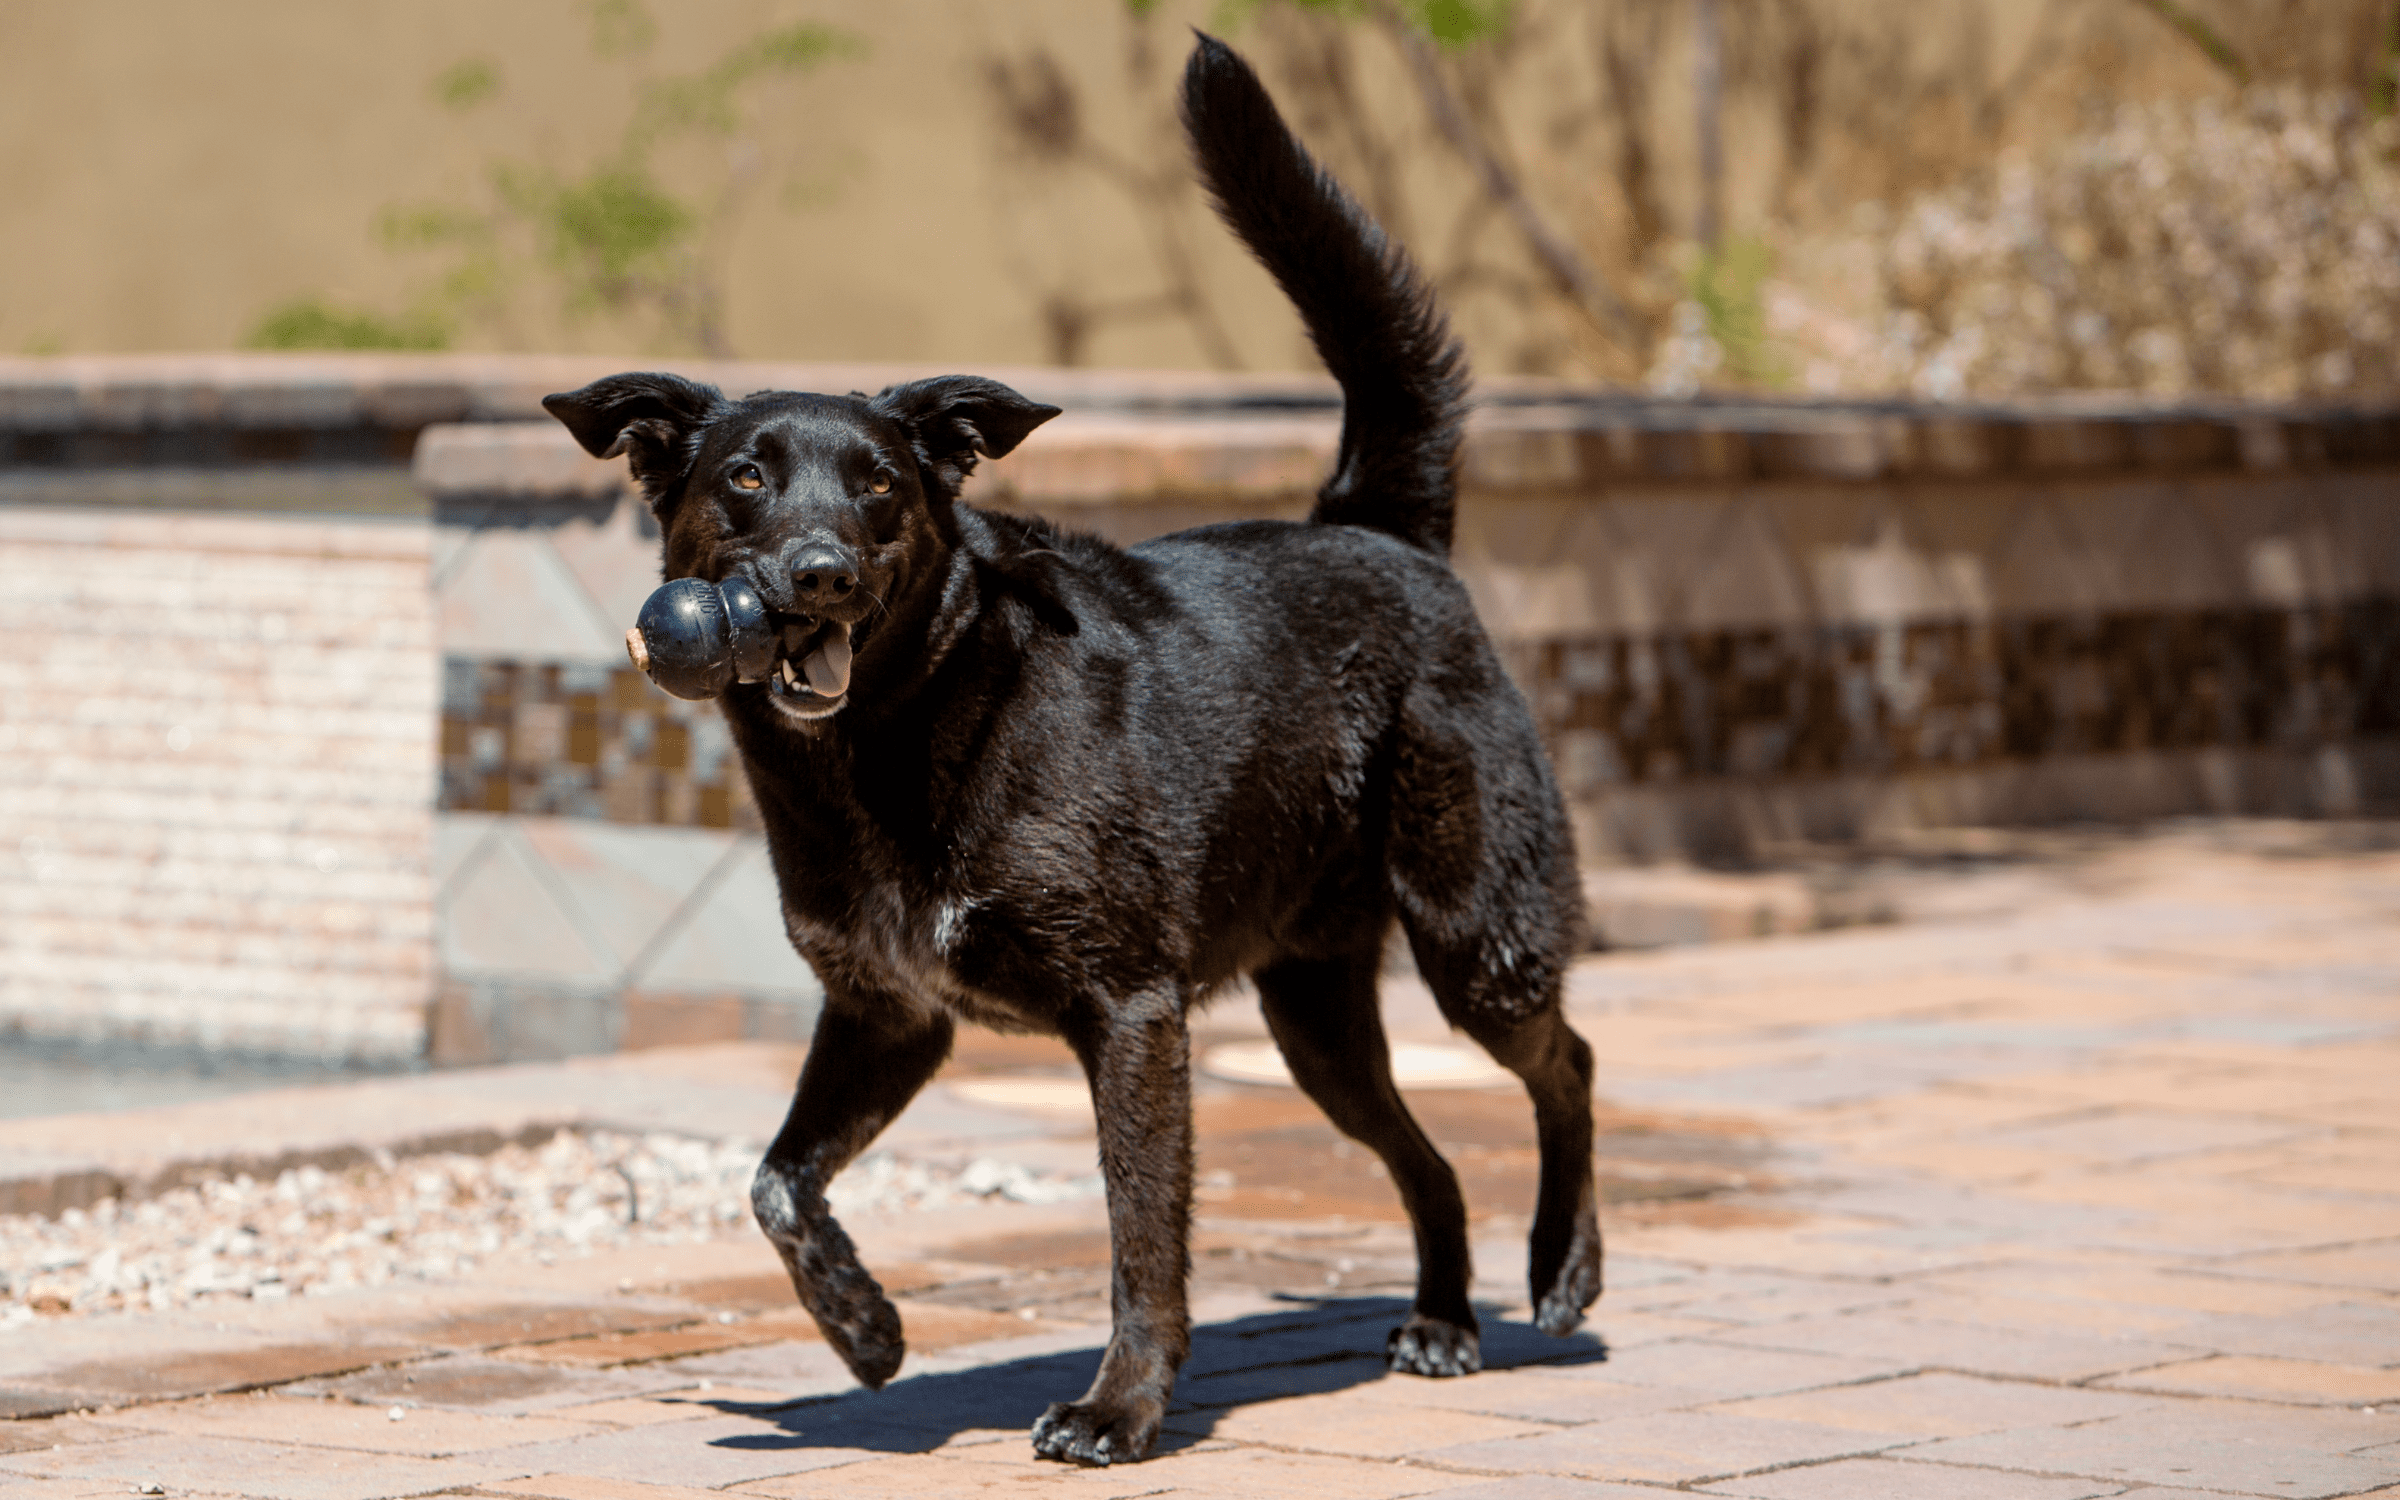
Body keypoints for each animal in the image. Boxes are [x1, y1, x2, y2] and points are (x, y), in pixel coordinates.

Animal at [542, 32, 1593, 1459]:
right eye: (747, 478)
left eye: (880, 485)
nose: (818, 577)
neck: (903, 728)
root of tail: (1375, 528)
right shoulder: (887, 1014)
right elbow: (776, 1181)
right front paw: (862, 1327)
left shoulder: (1131, 1016)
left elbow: (1140, 1237)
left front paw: (1121, 1408)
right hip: (1315, 1018)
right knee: (1425, 1157)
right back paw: (1441, 1320)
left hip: (1475, 935)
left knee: (1567, 1063)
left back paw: (1565, 1269)